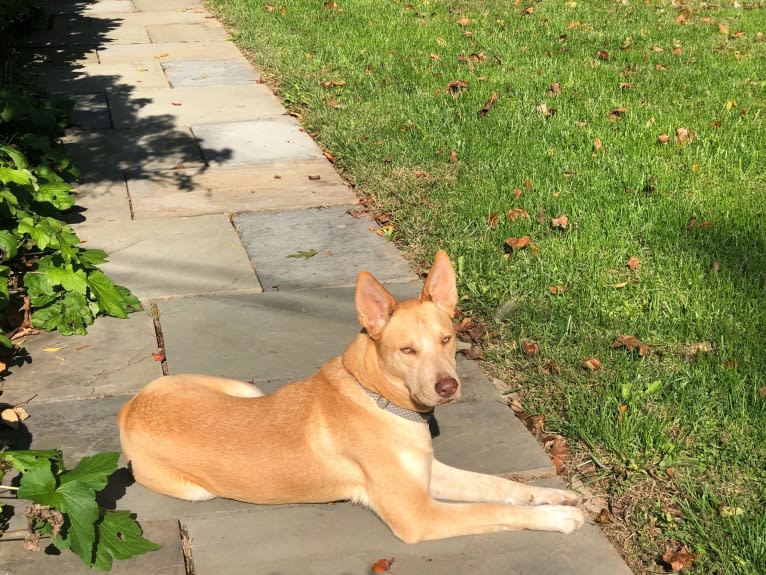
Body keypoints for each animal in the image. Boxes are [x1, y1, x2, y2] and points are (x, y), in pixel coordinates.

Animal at [117, 250, 584, 544]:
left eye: (447, 339)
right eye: (407, 350)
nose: (448, 387)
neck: (379, 398)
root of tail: (129, 409)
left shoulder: (428, 474)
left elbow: (498, 485)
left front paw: (555, 497)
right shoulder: (419, 515)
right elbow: (491, 511)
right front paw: (559, 518)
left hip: (245, 388)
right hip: (198, 491)